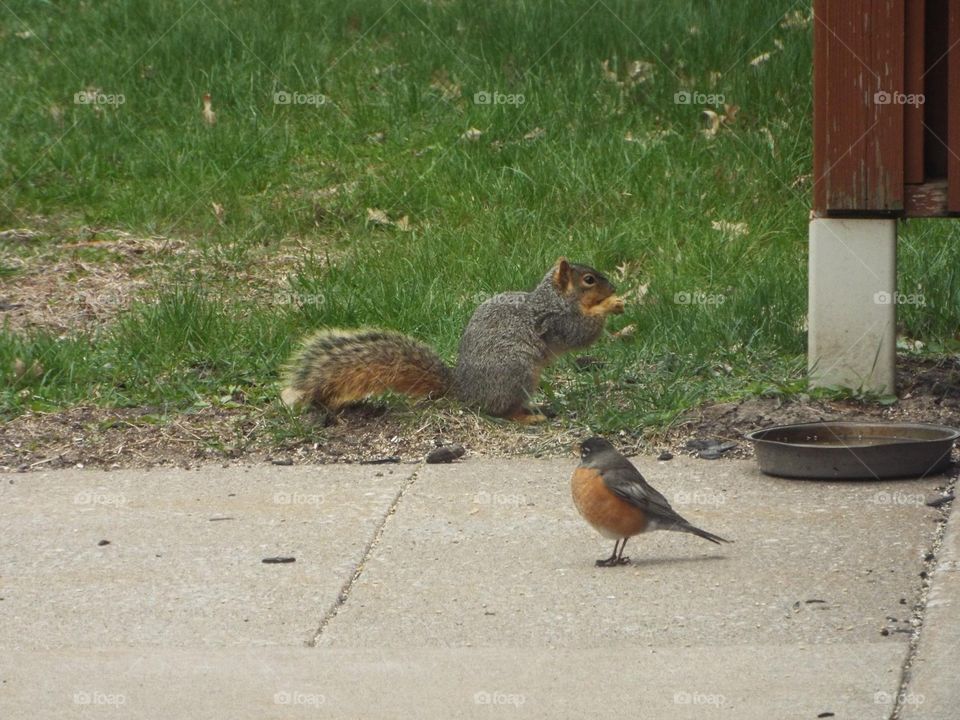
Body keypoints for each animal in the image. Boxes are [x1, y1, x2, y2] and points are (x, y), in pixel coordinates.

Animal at [281, 257, 626, 423]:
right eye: (589, 280)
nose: (612, 287)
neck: (553, 297)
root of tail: (465, 392)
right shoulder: (557, 321)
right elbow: (582, 332)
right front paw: (610, 305)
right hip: (516, 371)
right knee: (498, 411)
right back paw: (527, 417)